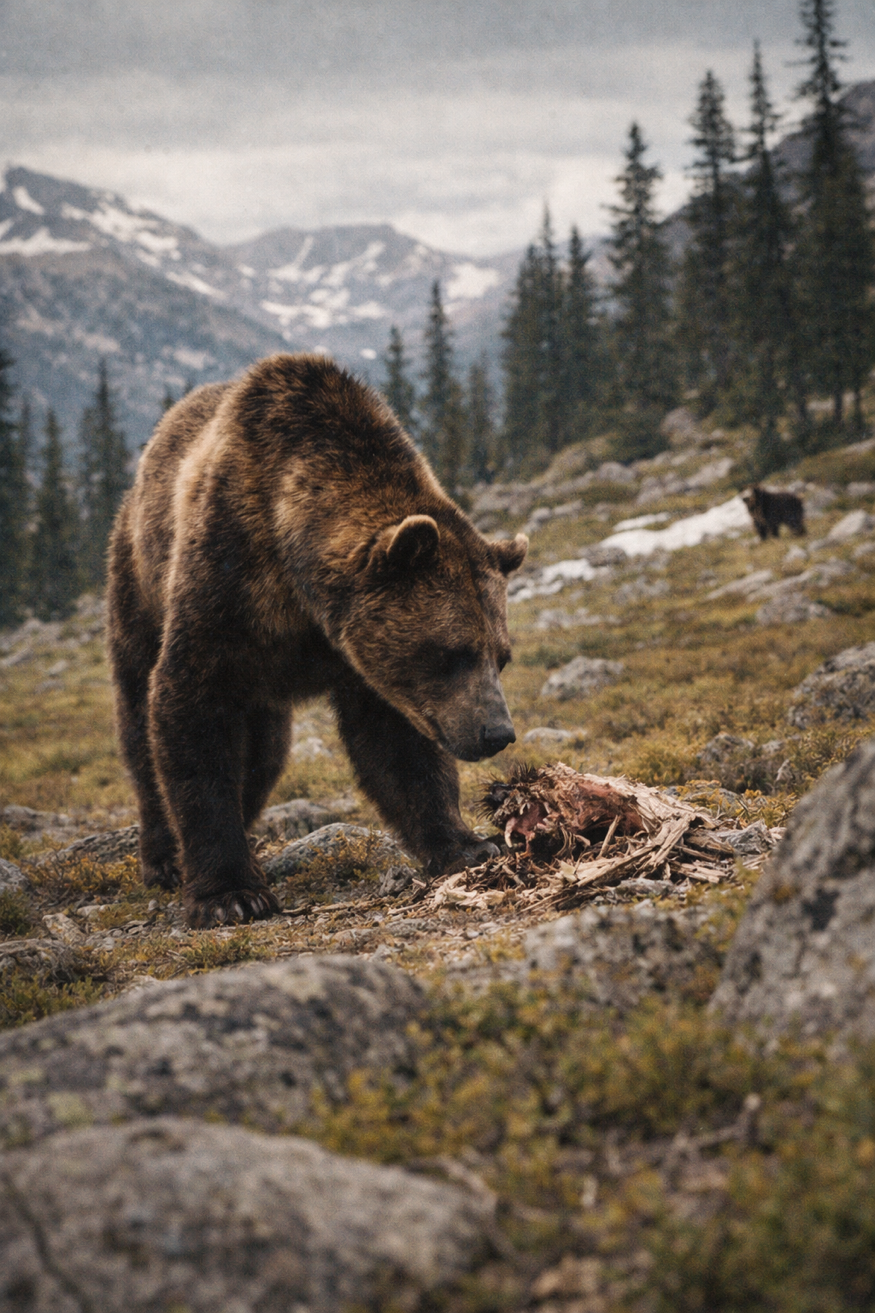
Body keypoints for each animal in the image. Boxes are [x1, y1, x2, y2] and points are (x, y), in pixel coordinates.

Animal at [106, 353, 528, 928]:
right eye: (452, 653)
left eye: (500, 657)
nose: (497, 732)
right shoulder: (226, 584)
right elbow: (191, 715)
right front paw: (230, 894)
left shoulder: (362, 659)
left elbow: (398, 746)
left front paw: (468, 844)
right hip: (137, 581)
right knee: (139, 720)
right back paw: (165, 857)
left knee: (263, 755)